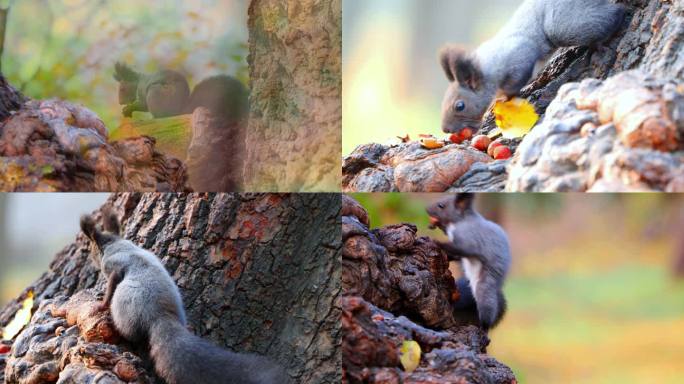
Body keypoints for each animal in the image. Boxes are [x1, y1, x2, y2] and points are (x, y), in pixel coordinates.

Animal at [79, 212, 286, 382]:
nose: (90, 258)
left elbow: (111, 286)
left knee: (129, 333)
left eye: (91, 248)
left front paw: (101, 305)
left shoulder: (113, 267)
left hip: (126, 311)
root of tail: (161, 317)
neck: (115, 243)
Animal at [424, 194, 510, 332]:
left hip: (485, 283)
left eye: (441, 205)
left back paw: (484, 326)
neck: (460, 221)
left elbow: (463, 248)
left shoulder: (468, 237)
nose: (426, 209)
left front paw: (438, 242)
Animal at [438, 0, 624, 134]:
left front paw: (503, 97)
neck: (488, 67)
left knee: (611, 15)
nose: (445, 129)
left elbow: (515, 84)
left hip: (563, 26)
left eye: (459, 106)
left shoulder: (519, 57)